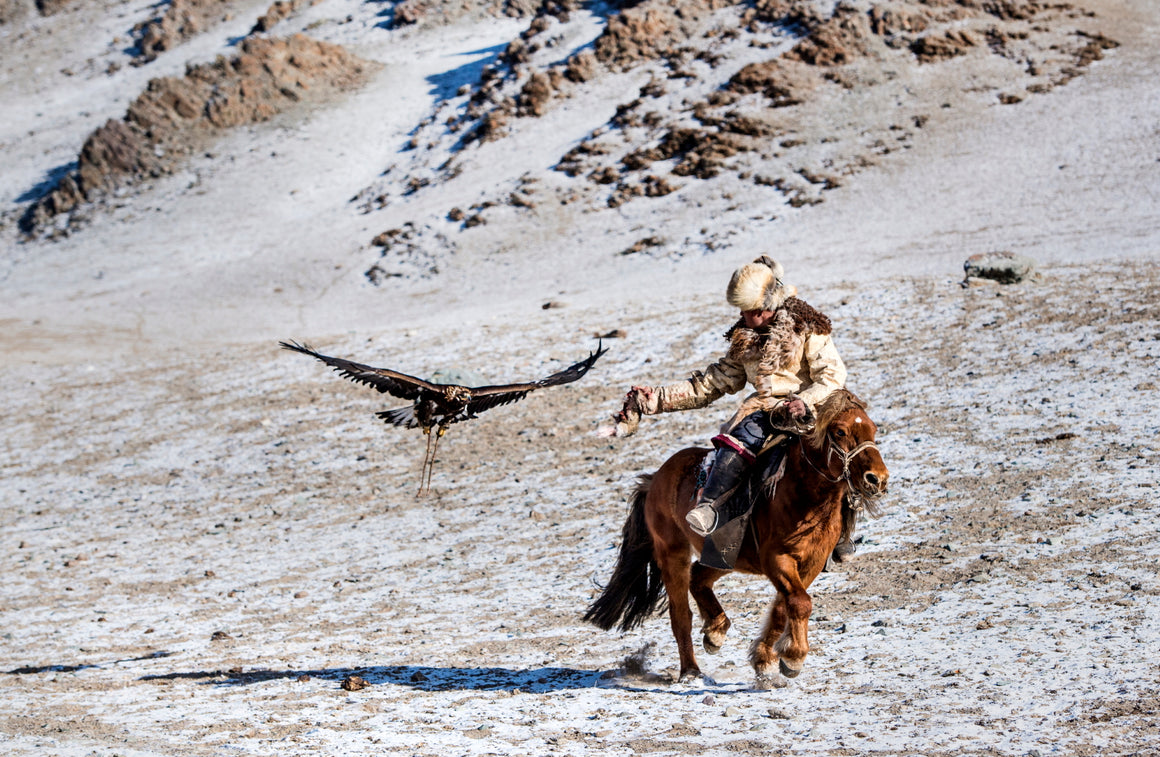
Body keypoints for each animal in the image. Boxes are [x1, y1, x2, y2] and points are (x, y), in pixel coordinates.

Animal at [589, 389, 886, 686]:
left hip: (723, 554)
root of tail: (654, 479)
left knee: (698, 577)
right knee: (681, 614)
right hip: (672, 552)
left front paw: (765, 660)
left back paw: (715, 631)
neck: (802, 493)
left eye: (873, 429)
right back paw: (691, 671)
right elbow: (800, 603)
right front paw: (793, 658)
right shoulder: (776, 559)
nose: (877, 479)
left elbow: (785, 606)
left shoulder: (811, 562)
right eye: (839, 431)